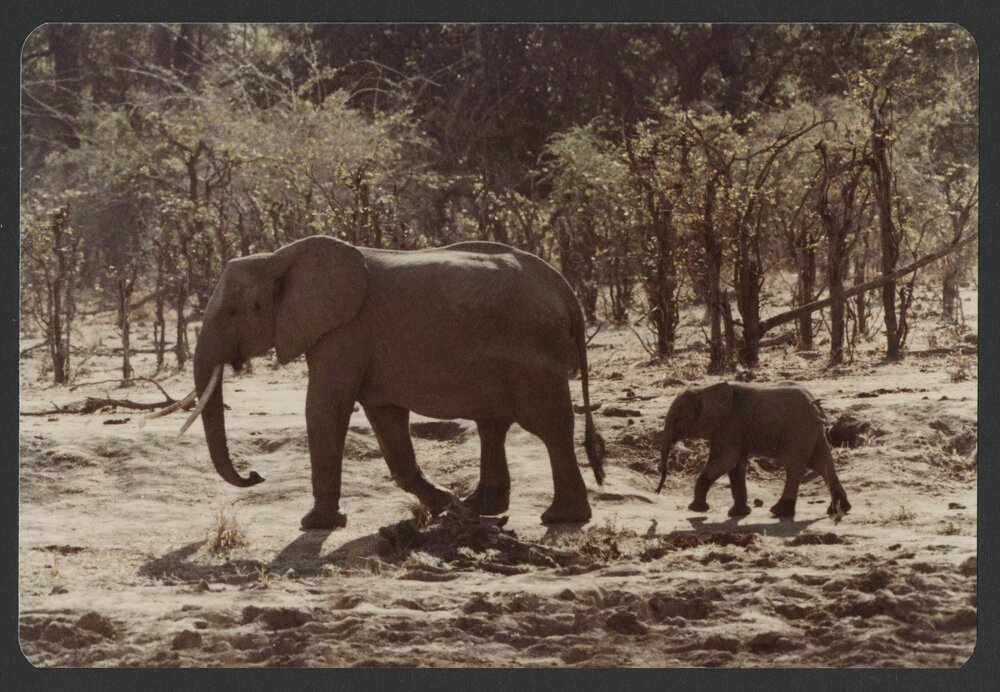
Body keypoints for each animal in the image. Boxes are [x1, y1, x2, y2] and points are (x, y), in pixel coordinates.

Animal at [159, 235, 606, 530]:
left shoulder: (343, 331)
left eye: (235, 312)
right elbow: (384, 417)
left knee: (549, 427)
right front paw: (444, 505)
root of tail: (566, 291)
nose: (255, 475)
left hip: (533, 351)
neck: (279, 257)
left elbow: (325, 409)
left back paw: (561, 517)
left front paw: (316, 524)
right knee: (492, 424)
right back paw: (480, 506)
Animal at [656, 381, 850, 518]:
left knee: (794, 466)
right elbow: (735, 466)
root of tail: (816, 406)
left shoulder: (729, 425)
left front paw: (696, 509)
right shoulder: (734, 430)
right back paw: (838, 510)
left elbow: (724, 461)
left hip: (798, 430)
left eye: (676, 419)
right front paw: (738, 513)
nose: (657, 492)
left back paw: (779, 511)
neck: (704, 390)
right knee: (822, 463)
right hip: (812, 432)